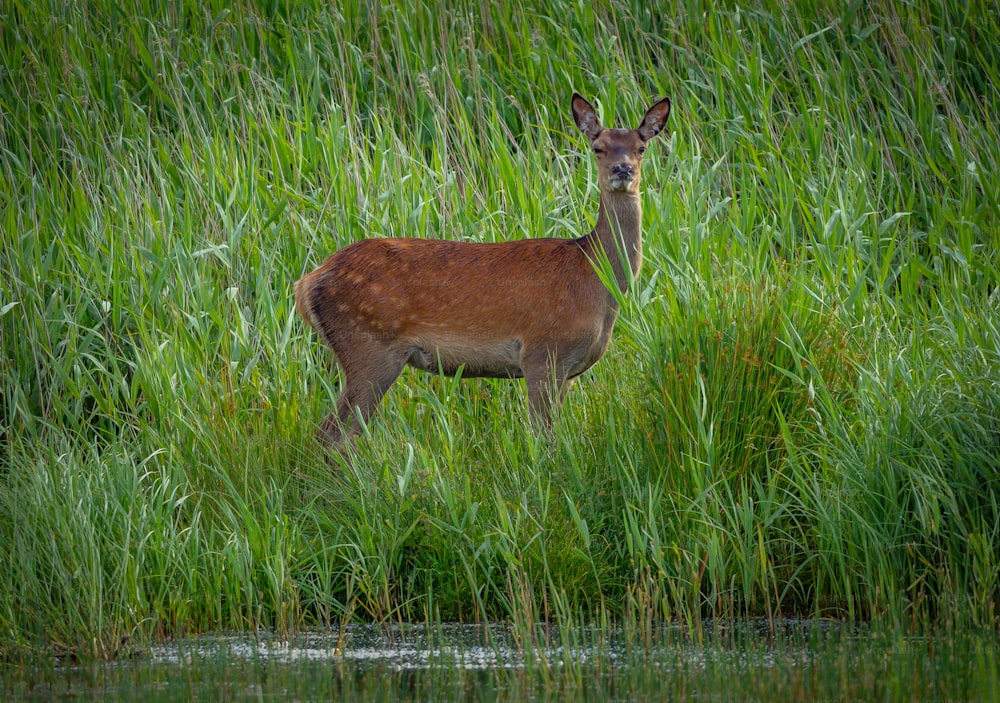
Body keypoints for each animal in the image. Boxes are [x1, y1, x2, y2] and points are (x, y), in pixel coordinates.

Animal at [296, 93, 672, 448]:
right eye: (598, 147)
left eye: (641, 147)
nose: (622, 170)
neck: (594, 278)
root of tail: (307, 283)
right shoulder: (542, 353)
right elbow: (544, 439)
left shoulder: (569, 371)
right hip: (369, 347)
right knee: (333, 434)